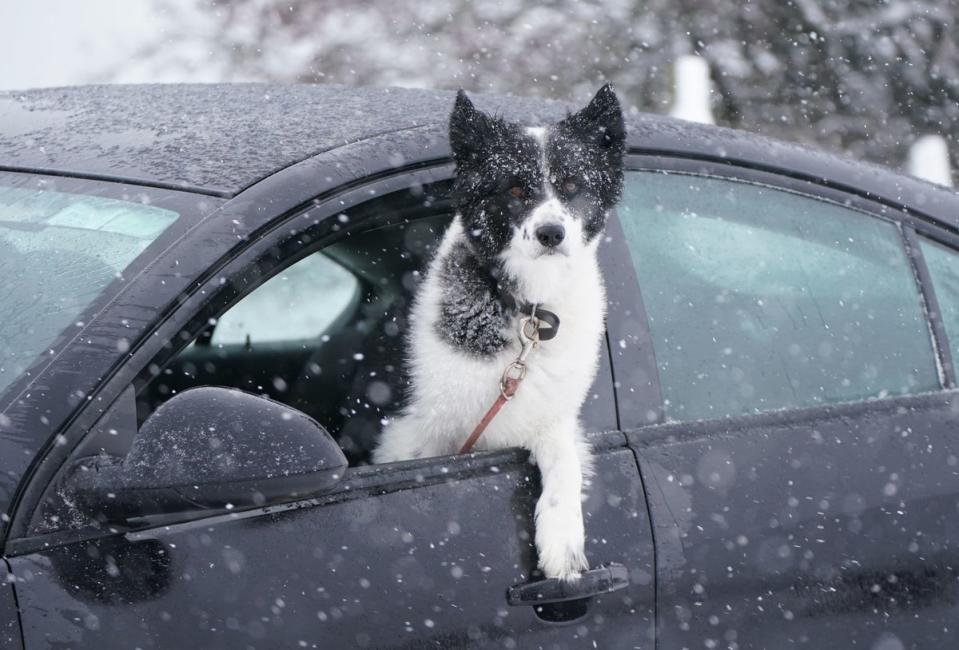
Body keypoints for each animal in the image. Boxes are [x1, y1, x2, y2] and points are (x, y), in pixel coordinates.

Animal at [372, 85, 628, 576]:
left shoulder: (549, 416)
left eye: (572, 186)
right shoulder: (417, 429)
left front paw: (562, 542)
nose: (550, 233)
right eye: (514, 189)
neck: (528, 310)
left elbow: (565, 462)